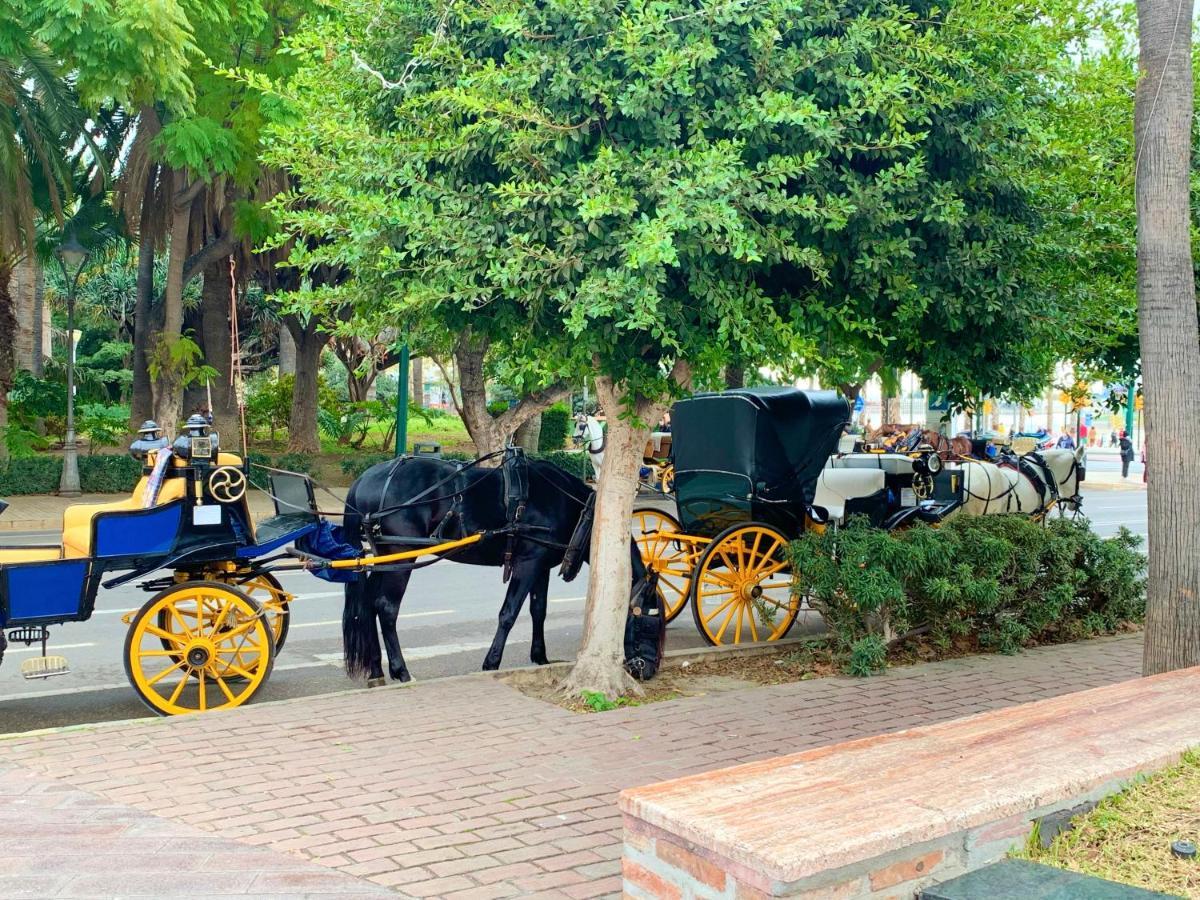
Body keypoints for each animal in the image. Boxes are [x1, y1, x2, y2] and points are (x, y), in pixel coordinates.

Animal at [340, 453, 600, 686]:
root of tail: (367, 478)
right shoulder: (527, 564)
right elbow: (509, 613)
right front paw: (492, 662)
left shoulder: (540, 566)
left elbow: (538, 610)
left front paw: (540, 658)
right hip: (401, 557)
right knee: (386, 607)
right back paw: (401, 670)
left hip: (386, 557)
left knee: (368, 605)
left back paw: (376, 669)